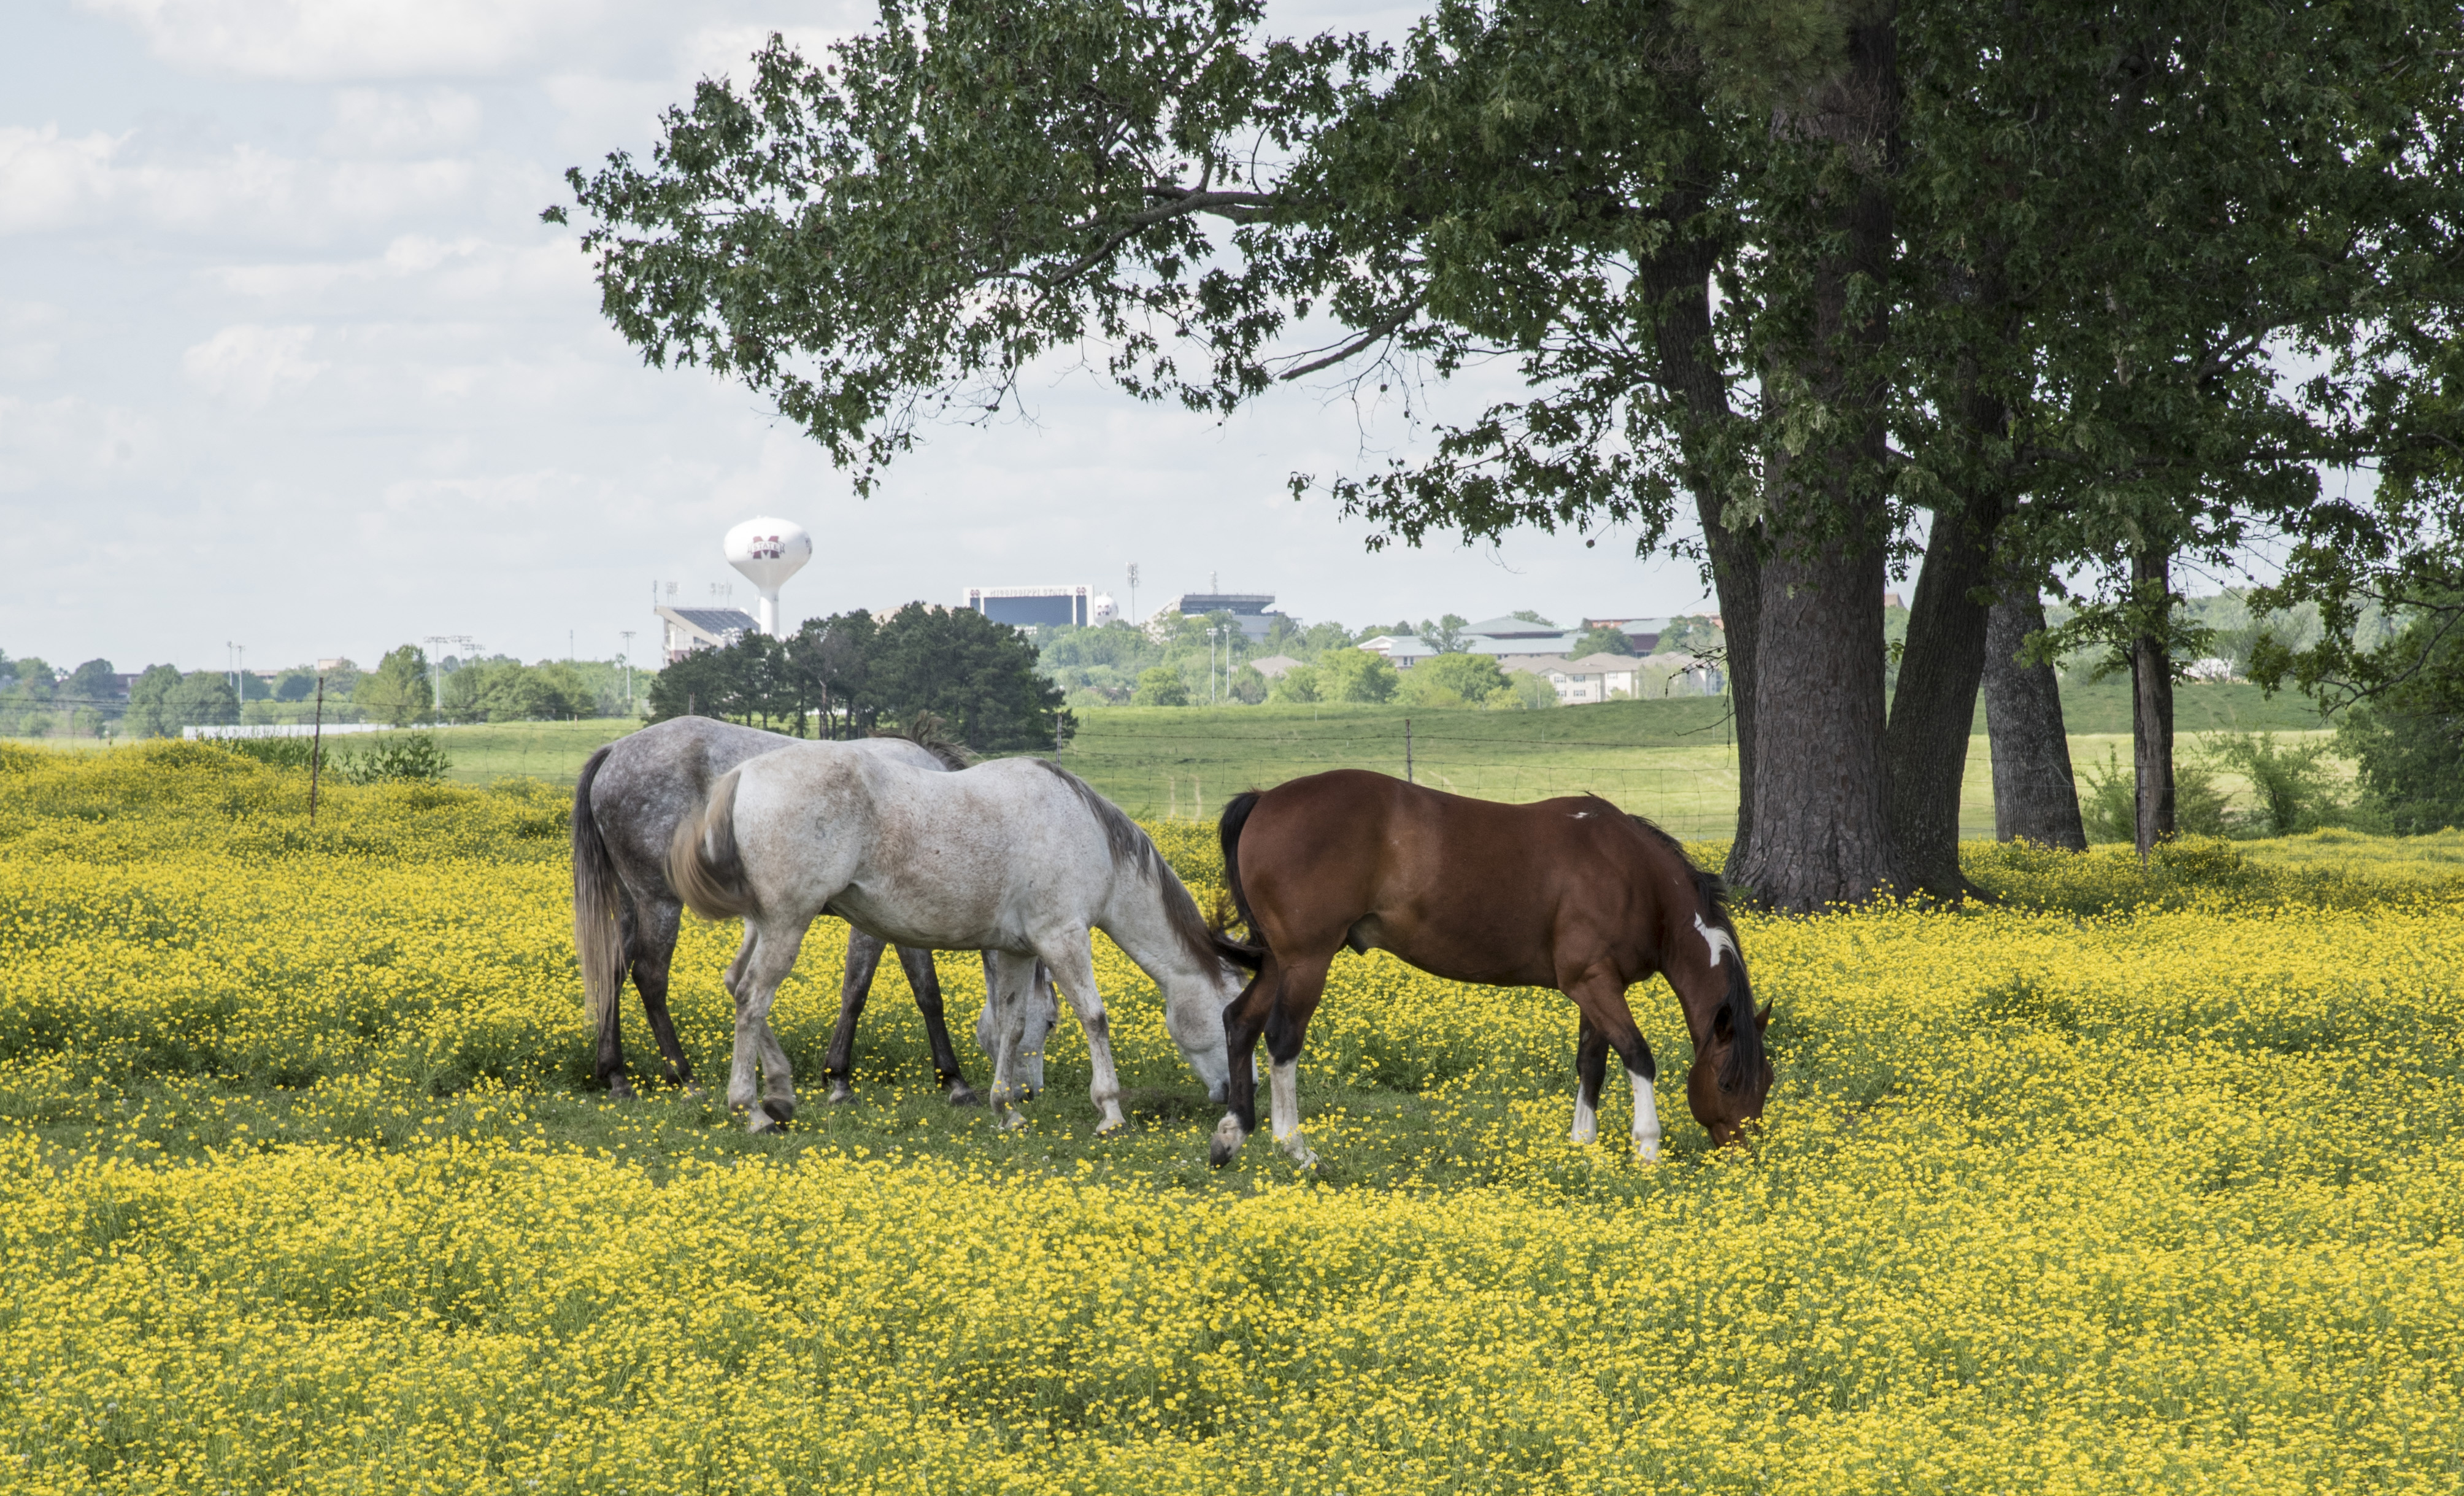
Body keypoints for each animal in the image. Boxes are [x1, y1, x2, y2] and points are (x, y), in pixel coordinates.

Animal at [569, 719, 1059, 1104]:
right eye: (1052, 1023)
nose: (1029, 1093)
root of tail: (615, 751)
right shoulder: (878, 926)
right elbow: (862, 992)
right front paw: (844, 1079)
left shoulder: (907, 924)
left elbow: (926, 995)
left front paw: (948, 1079)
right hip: (660, 902)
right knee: (650, 977)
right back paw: (684, 1077)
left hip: (631, 903)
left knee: (613, 972)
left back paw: (617, 1076)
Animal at [670, 749, 1252, 1133]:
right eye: (1229, 1015)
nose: (1231, 1095)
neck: (1084, 833)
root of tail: (744, 773)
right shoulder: (1062, 937)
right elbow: (1095, 1016)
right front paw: (1109, 1111)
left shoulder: (1019, 950)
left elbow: (1011, 1025)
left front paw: (1006, 1108)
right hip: (788, 921)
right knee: (753, 998)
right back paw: (752, 1111)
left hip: (763, 922)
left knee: (736, 984)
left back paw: (781, 1094)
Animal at [1217, 774, 1774, 1173]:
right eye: (1727, 1083)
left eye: (1765, 1082)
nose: (1747, 1156)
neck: (1633, 875)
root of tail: (1265, 800)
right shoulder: (1593, 984)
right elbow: (1638, 1056)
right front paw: (1648, 1149)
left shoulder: (1595, 987)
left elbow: (1591, 1063)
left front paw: (1583, 1146)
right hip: (1307, 962)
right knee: (1282, 1040)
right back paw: (1296, 1149)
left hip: (1280, 963)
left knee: (1239, 1021)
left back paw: (1231, 1135)